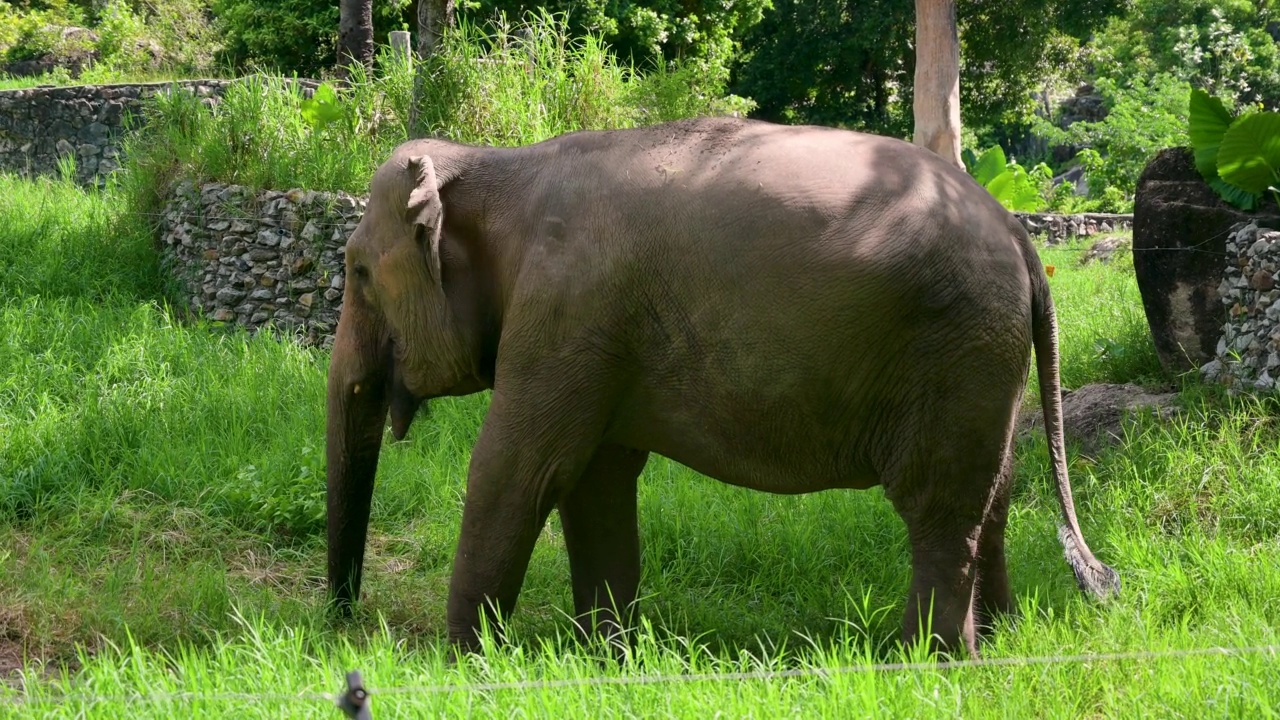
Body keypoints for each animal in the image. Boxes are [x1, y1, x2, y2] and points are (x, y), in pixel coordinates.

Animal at [322, 114, 1121, 661]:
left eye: (357, 272)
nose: (340, 623)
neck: (497, 165)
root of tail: (1020, 235)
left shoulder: (565, 311)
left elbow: (519, 469)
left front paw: (457, 663)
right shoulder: (592, 331)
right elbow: (595, 479)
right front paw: (606, 657)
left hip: (954, 348)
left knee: (940, 507)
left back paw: (925, 661)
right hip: (985, 360)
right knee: (995, 492)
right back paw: (999, 640)